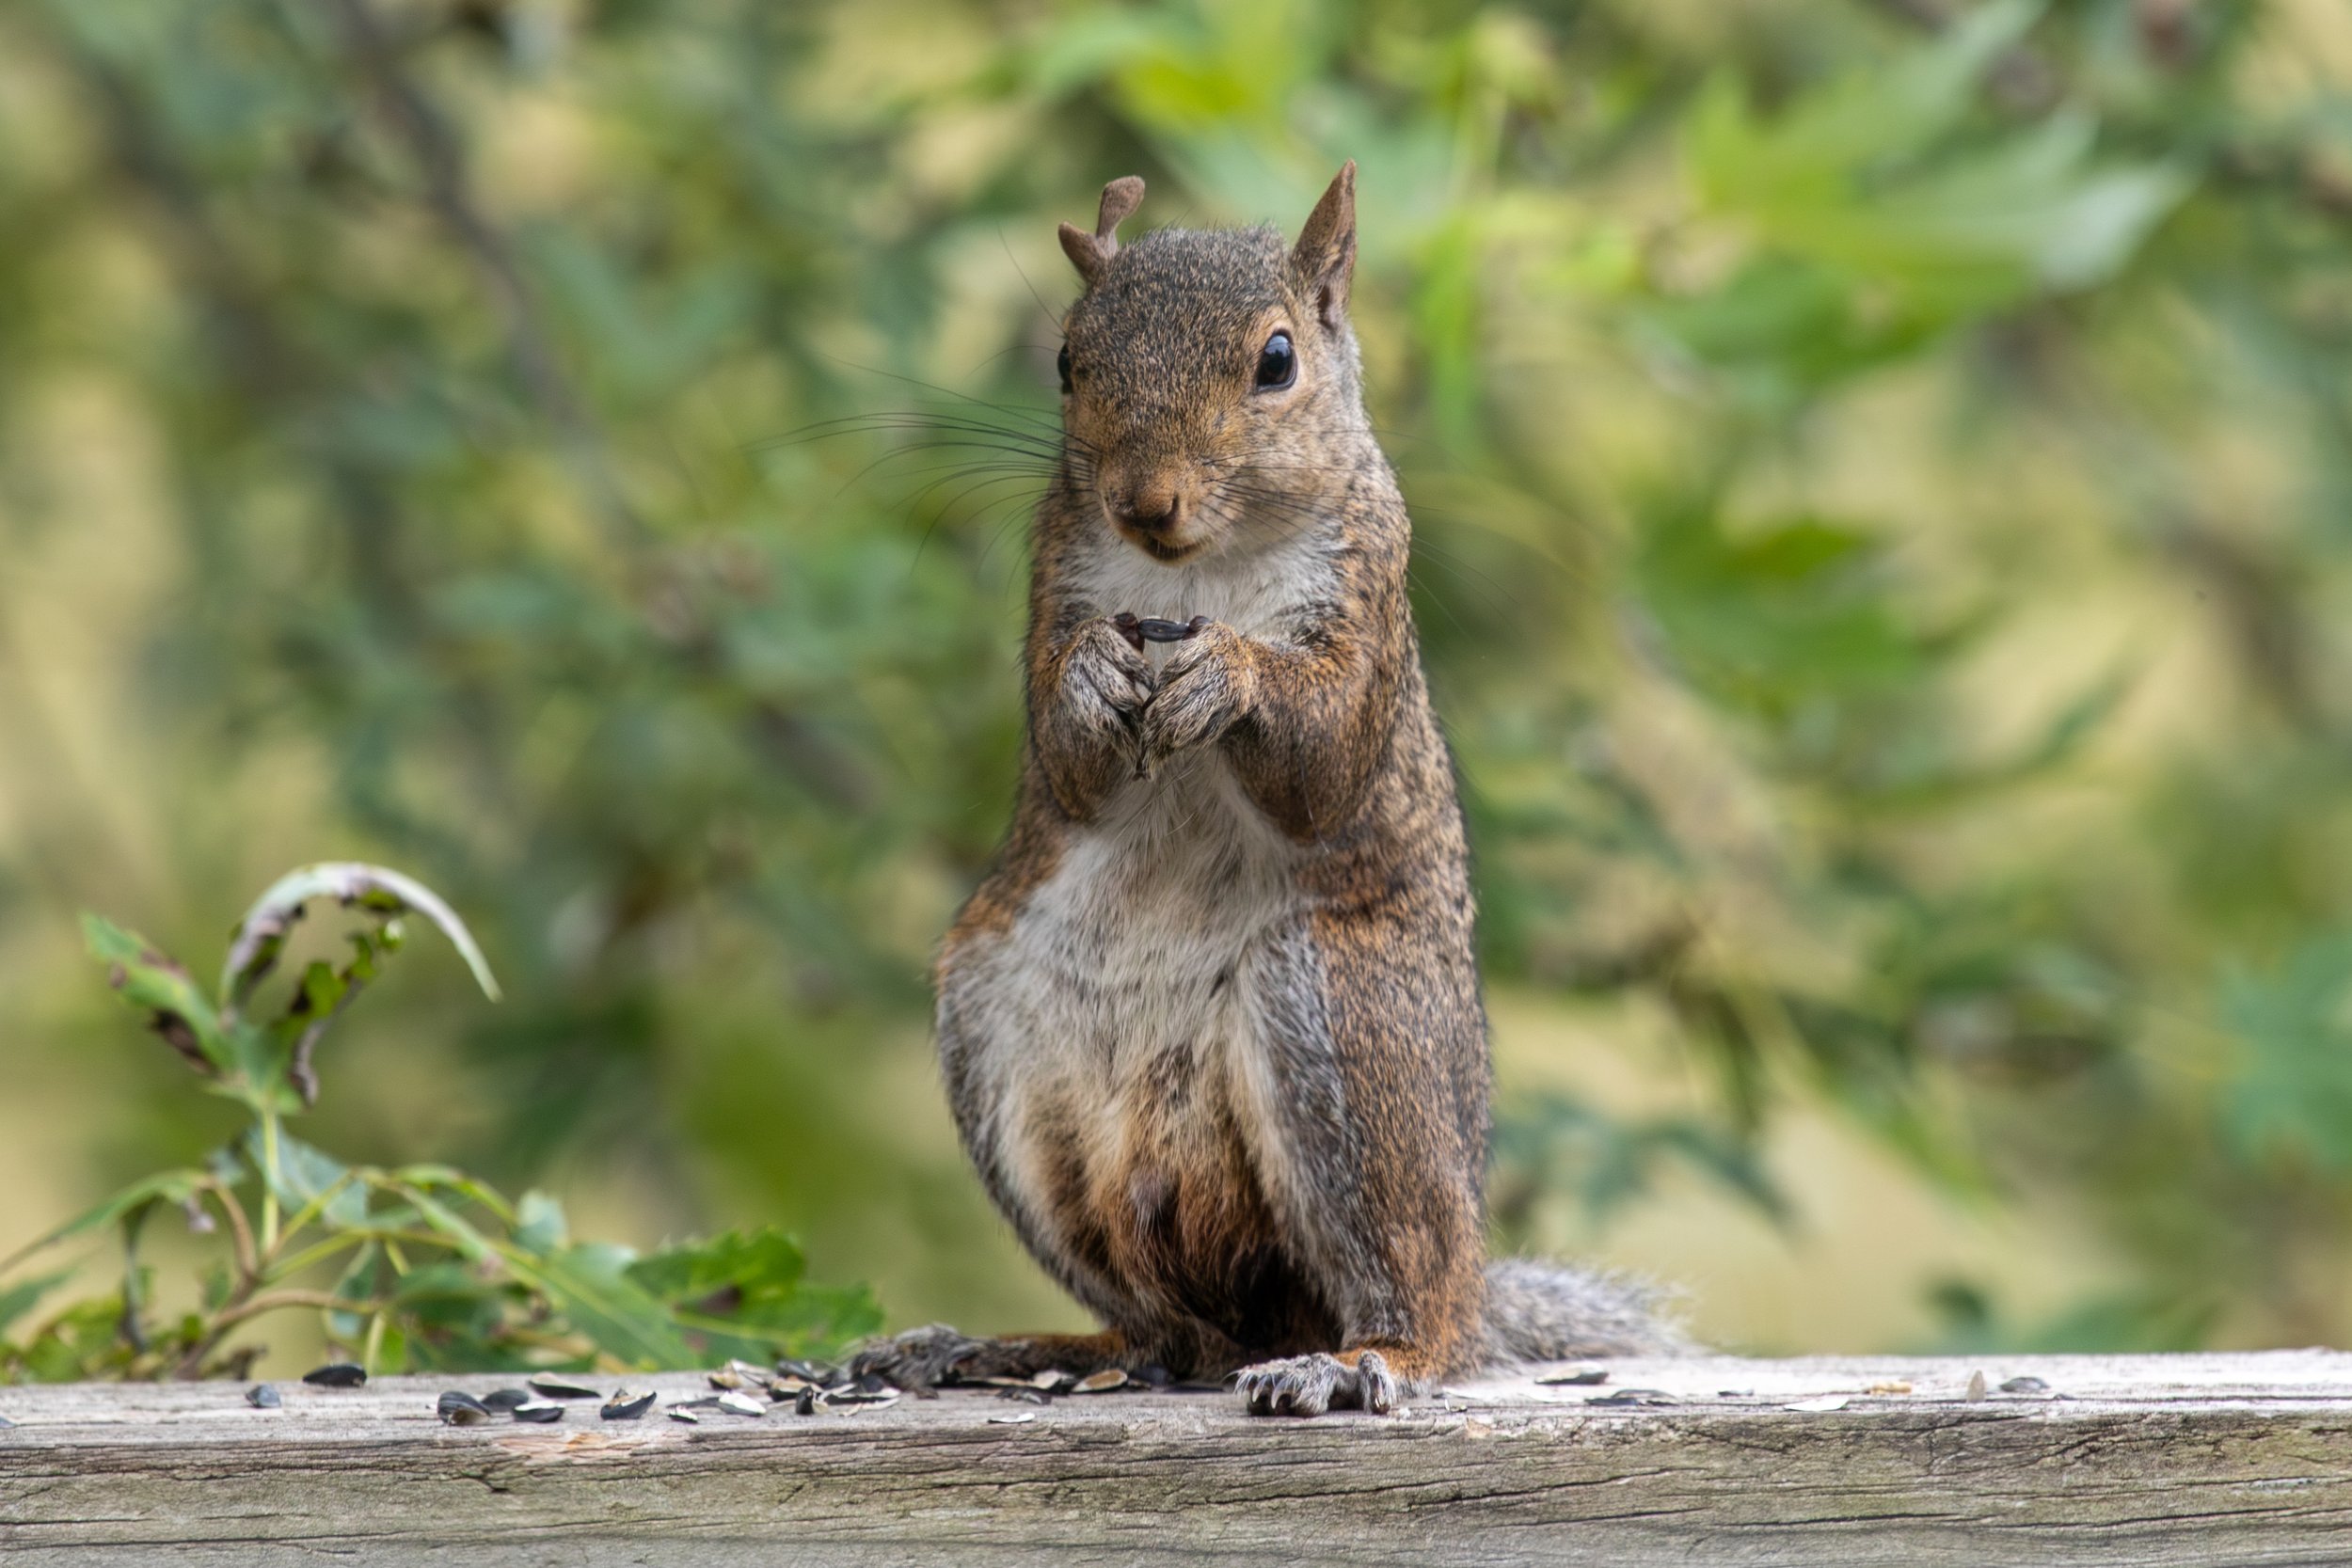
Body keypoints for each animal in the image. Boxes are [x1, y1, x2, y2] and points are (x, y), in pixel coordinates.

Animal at [852, 166, 1684, 1416]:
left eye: (1277, 360)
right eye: (1068, 360)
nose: (1143, 499)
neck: (1196, 572)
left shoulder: (1368, 586)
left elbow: (1324, 758)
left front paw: (1229, 674)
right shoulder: (1057, 573)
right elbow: (1067, 762)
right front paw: (1096, 675)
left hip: (1344, 1016)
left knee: (1415, 1300)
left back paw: (1357, 1359)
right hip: (989, 1023)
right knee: (1174, 1331)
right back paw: (1021, 1347)